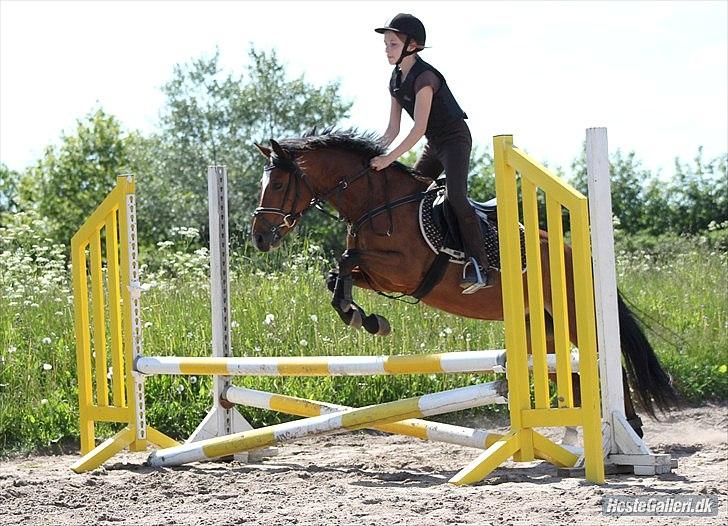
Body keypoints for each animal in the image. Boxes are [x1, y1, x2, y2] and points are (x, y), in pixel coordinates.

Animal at [249, 128, 679, 435]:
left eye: (278, 185)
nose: (259, 238)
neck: (375, 203)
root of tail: (576, 252)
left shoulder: (403, 271)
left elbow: (346, 259)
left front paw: (362, 317)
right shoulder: (379, 275)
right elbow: (338, 275)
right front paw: (365, 318)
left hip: (573, 314)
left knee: (611, 360)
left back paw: (630, 426)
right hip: (542, 329)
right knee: (570, 370)